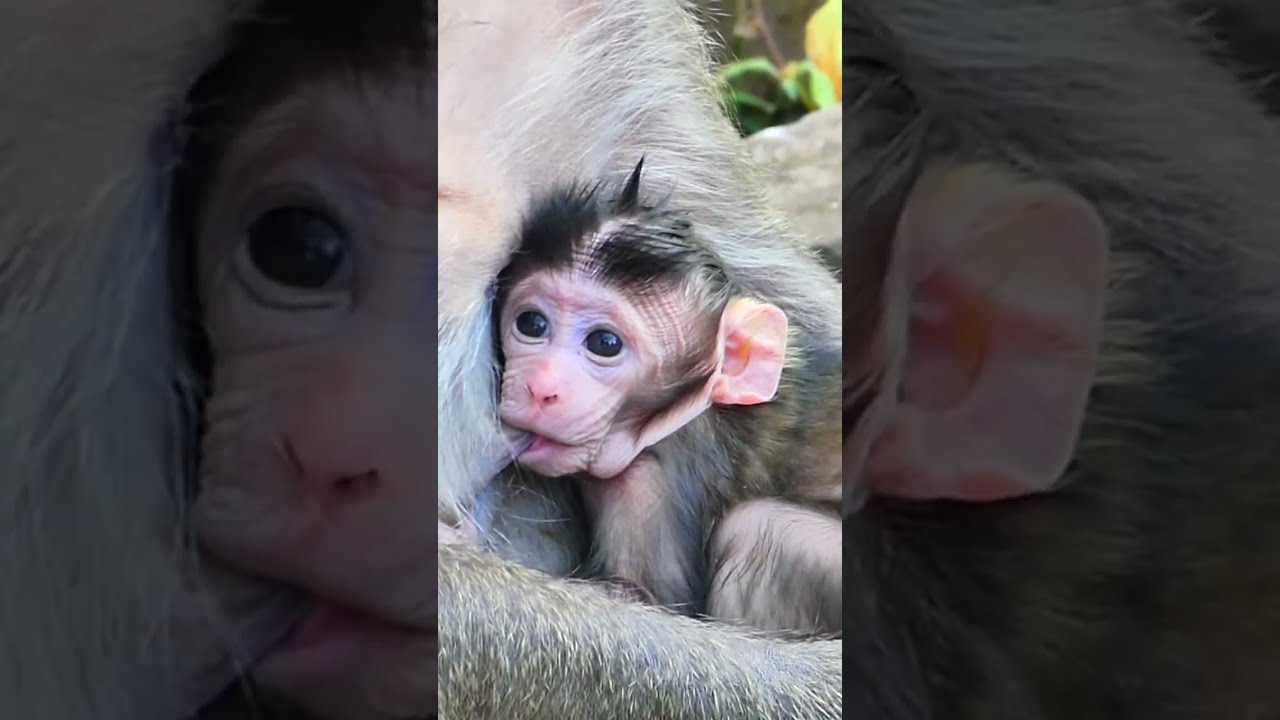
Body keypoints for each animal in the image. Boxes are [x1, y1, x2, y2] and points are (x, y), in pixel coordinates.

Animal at [492, 160, 842, 633]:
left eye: (605, 343)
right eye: (531, 324)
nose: (541, 388)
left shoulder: (653, 478)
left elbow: (644, 597)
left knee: (759, 533)